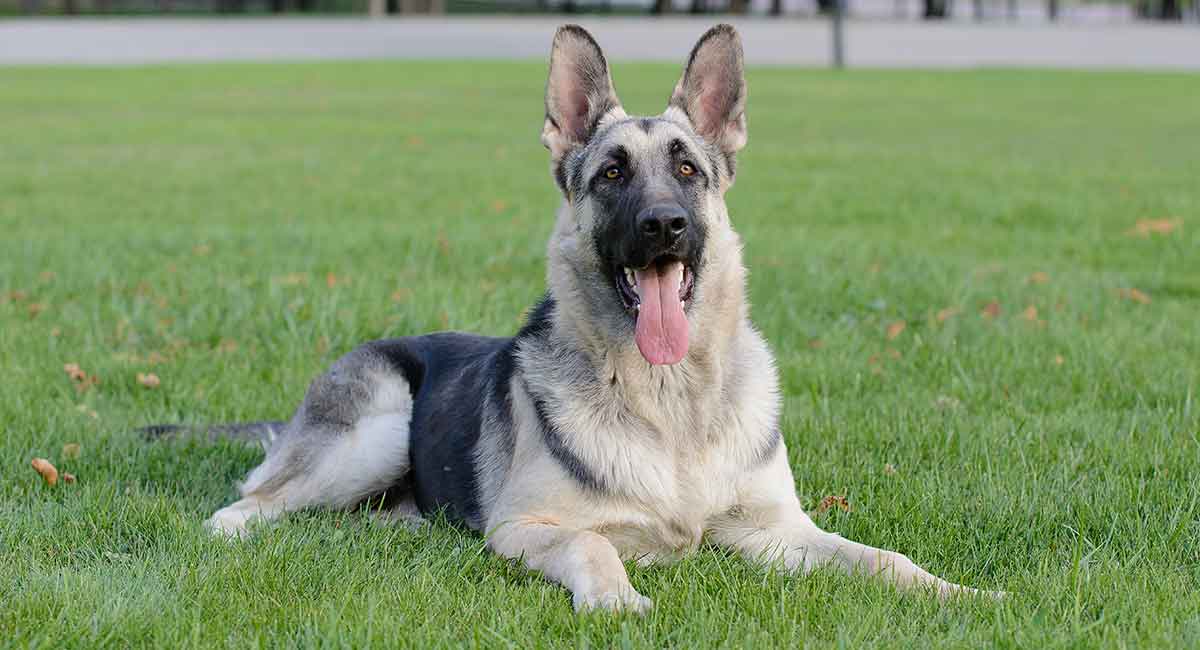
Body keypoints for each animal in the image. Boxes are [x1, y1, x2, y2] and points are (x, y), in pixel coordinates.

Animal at [171, 25, 993, 614]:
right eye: (612, 174)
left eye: (688, 169)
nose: (664, 225)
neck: (670, 401)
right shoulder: (525, 530)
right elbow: (595, 547)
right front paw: (617, 597)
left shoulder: (776, 533)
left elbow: (881, 558)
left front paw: (959, 593)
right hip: (372, 431)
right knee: (244, 505)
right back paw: (239, 536)